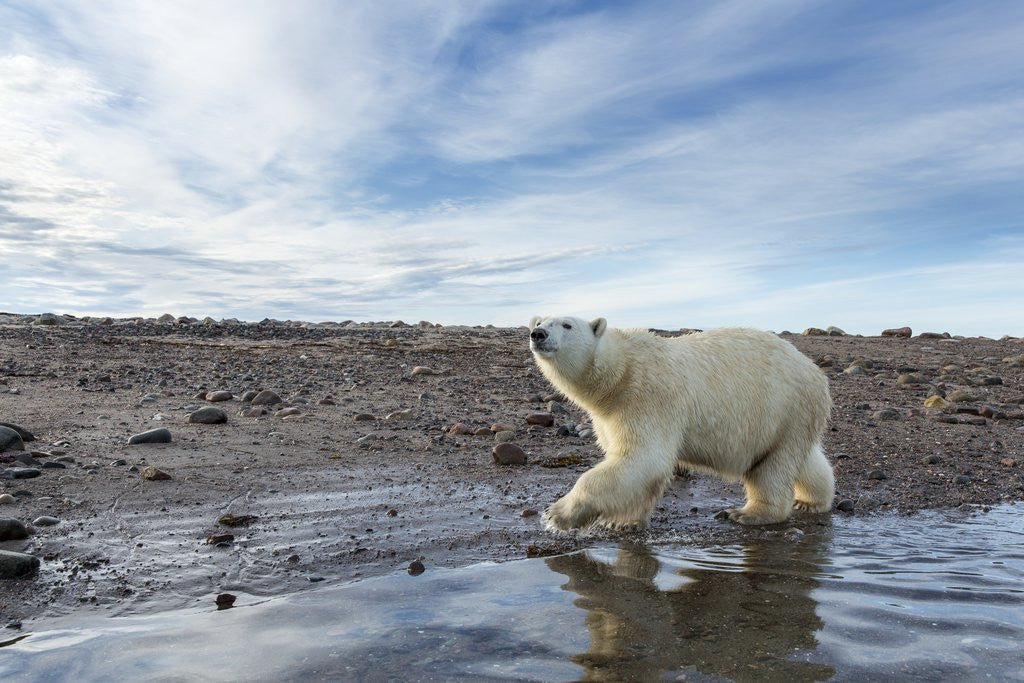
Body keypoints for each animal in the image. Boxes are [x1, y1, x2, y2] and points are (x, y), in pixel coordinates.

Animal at [528, 316, 833, 529]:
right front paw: (621, 521)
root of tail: (815, 373)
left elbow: (643, 458)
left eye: (567, 324)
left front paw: (557, 514)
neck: (621, 370)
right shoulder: (609, 414)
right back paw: (811, 501)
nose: (538, 333)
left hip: (784, 406)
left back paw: (747, 513)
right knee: (801, 459)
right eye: (540, 321)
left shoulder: (647, 397)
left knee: (772, 468)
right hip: (789, 420)